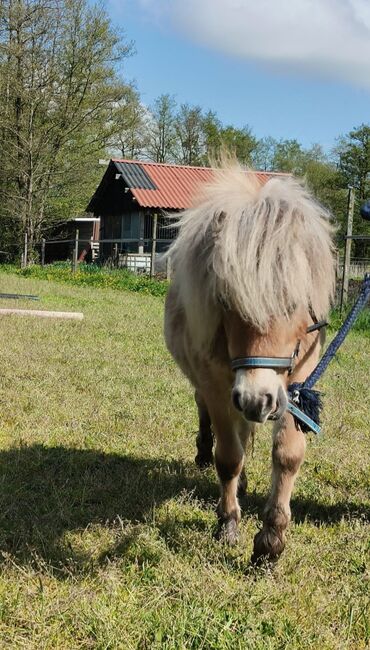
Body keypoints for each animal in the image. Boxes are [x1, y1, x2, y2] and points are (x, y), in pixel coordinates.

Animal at [165, 163, 336, 560]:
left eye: (294, 301)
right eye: (225, 299)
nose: (258, 400)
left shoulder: (294, 385)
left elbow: (287, 456)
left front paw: (271, 542)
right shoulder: (217, 386)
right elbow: (228, 457)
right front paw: (228, 524)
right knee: (211, 420)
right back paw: (206, 456)